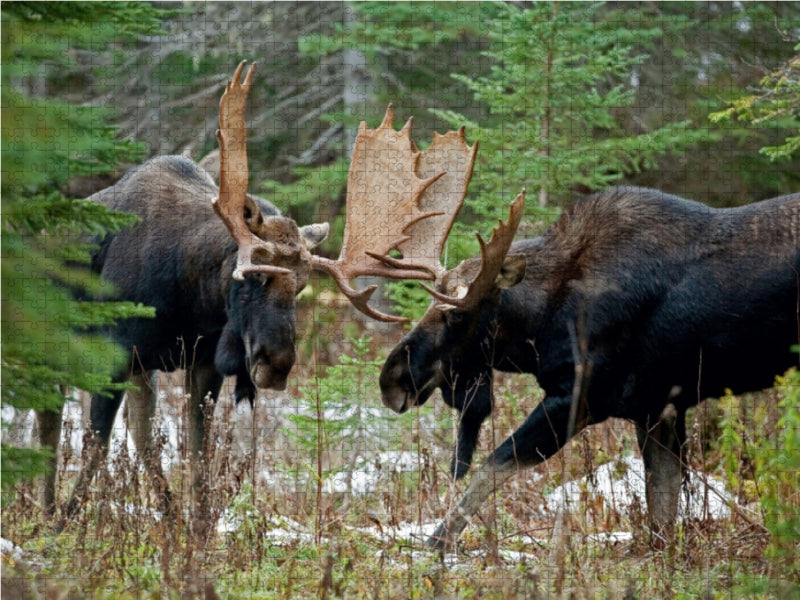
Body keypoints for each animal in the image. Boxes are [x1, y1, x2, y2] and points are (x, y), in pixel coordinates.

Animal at [354, 108, 800, 548]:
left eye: (457, 315)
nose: (391, 378)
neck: (543, 323)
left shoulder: (581, 395)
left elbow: (492, 465)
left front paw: (436, 545)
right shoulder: (657, 407)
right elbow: (662, 512)